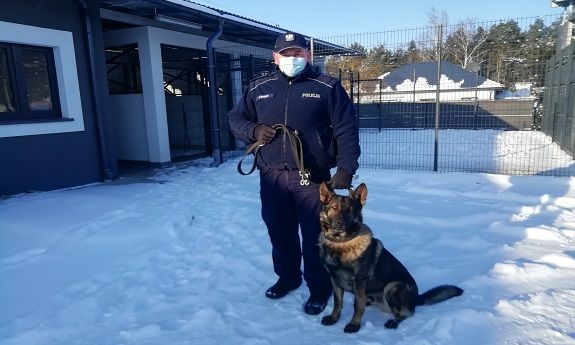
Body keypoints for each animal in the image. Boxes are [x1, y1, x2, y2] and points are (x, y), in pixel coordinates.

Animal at [320, 181, 464, 332]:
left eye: (350, 210)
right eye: (334, 207)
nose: (339, 223)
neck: (340, 243)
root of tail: (416, 298)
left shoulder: (360, 281)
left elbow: (358, 306)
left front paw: (354, 325)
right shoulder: (335, 279)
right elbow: (337, 302)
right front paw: (333, 318)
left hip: (392, 286)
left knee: (408, 313)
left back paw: (393, 321)